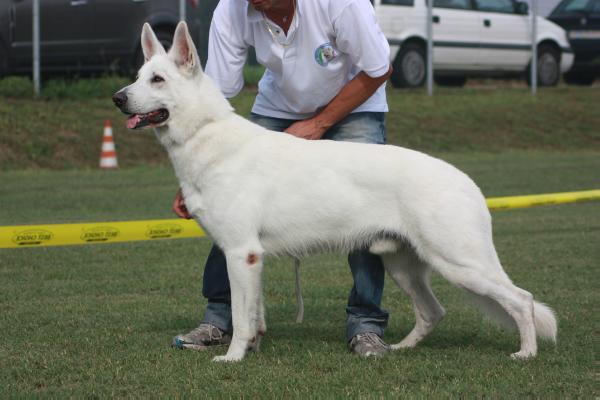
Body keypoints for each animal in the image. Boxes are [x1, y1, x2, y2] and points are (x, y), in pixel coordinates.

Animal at [113, 21, 556, 362]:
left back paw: (526, 353)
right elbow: (253, 315)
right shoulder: (247, 258)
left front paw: (233, 358)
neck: (204, 133)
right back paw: (397, 350)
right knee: (434, 311)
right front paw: (252, 347)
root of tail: (468, 182)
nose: (117, 98)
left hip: (460, 262)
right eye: (137, 76)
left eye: (157, 79)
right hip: (403, 265)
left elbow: (240, 317)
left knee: (522, 299)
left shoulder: (242, 253)